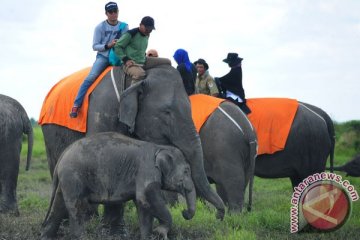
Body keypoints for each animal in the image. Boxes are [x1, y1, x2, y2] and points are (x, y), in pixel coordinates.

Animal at [40, 64, 225, 221]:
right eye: (167, 112)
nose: (218, 216)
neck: (135, 79)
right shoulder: (101, 109)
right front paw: (96, 220)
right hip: (49, 130)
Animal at [40, 132, 195, 239]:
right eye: (187, 171)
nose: (184, 212)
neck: (160, 147)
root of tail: (63, 155)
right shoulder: (147, 170)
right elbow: (146, 198)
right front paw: (160, 231)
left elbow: (143, 206)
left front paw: (148, 236)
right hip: (73, 176)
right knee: (76, 206)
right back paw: (81, 237)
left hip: (66, 180)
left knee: (59, 205)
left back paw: (45, 236)